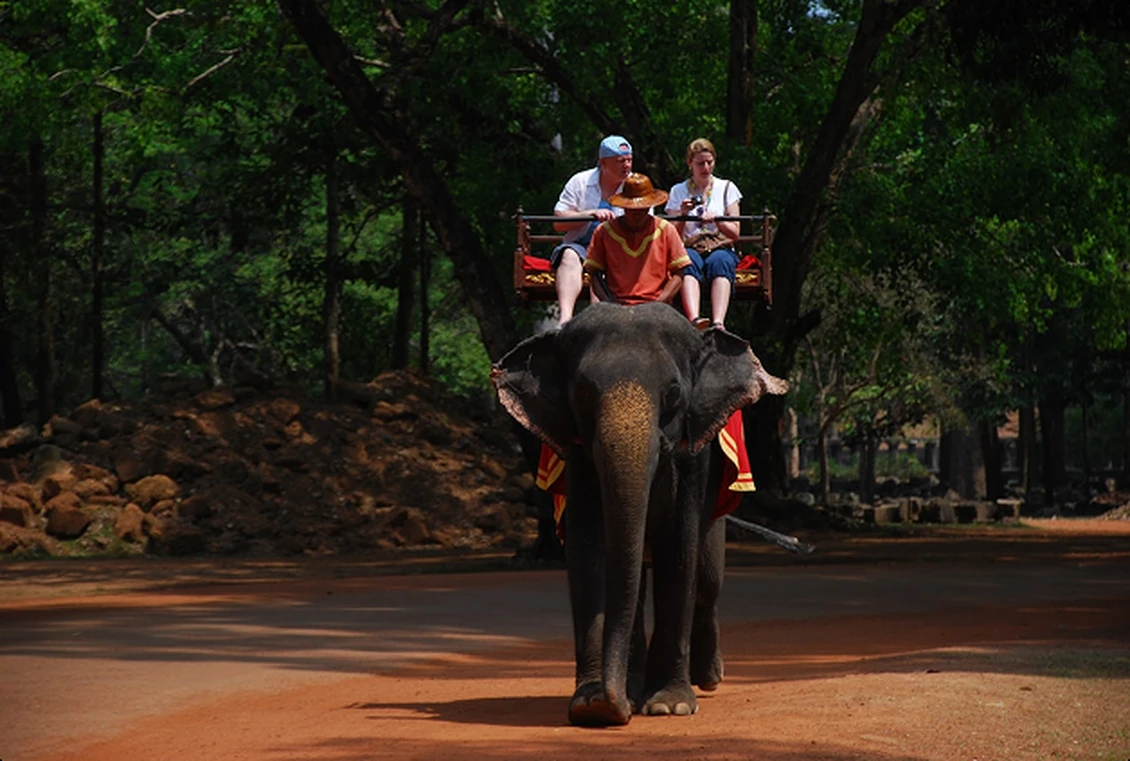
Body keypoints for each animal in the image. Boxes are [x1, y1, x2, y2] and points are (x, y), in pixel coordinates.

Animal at [491, 301, 787, 726]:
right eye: (582, 392)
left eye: (674, 392)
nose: (611, 705)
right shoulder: (580, 456)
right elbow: (588, 550)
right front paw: (591, 704)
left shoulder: (693, 455)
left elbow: (679, 549)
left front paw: (669, 705)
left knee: (707, 577)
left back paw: (707, 679)